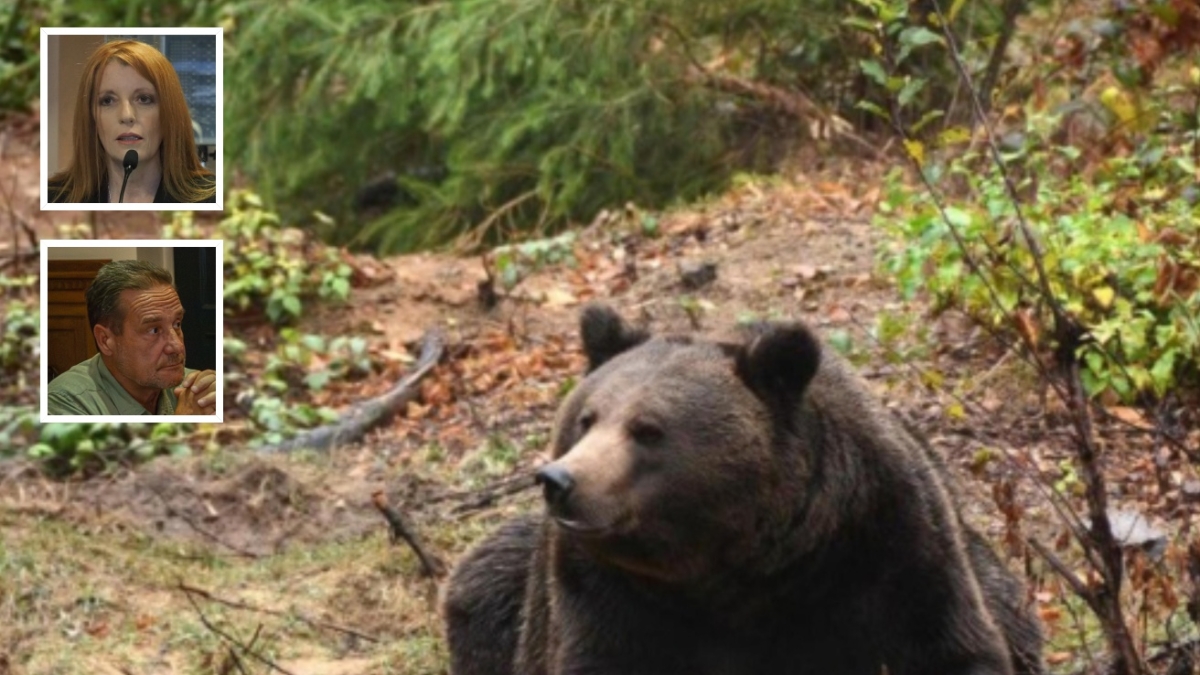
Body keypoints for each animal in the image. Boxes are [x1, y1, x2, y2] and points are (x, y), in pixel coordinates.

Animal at [443, 304, 1044, 675]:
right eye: (586, 419)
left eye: (647, 429)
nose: (561, 480)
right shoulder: (602, 592)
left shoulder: (882, 545)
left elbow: (949, 645)